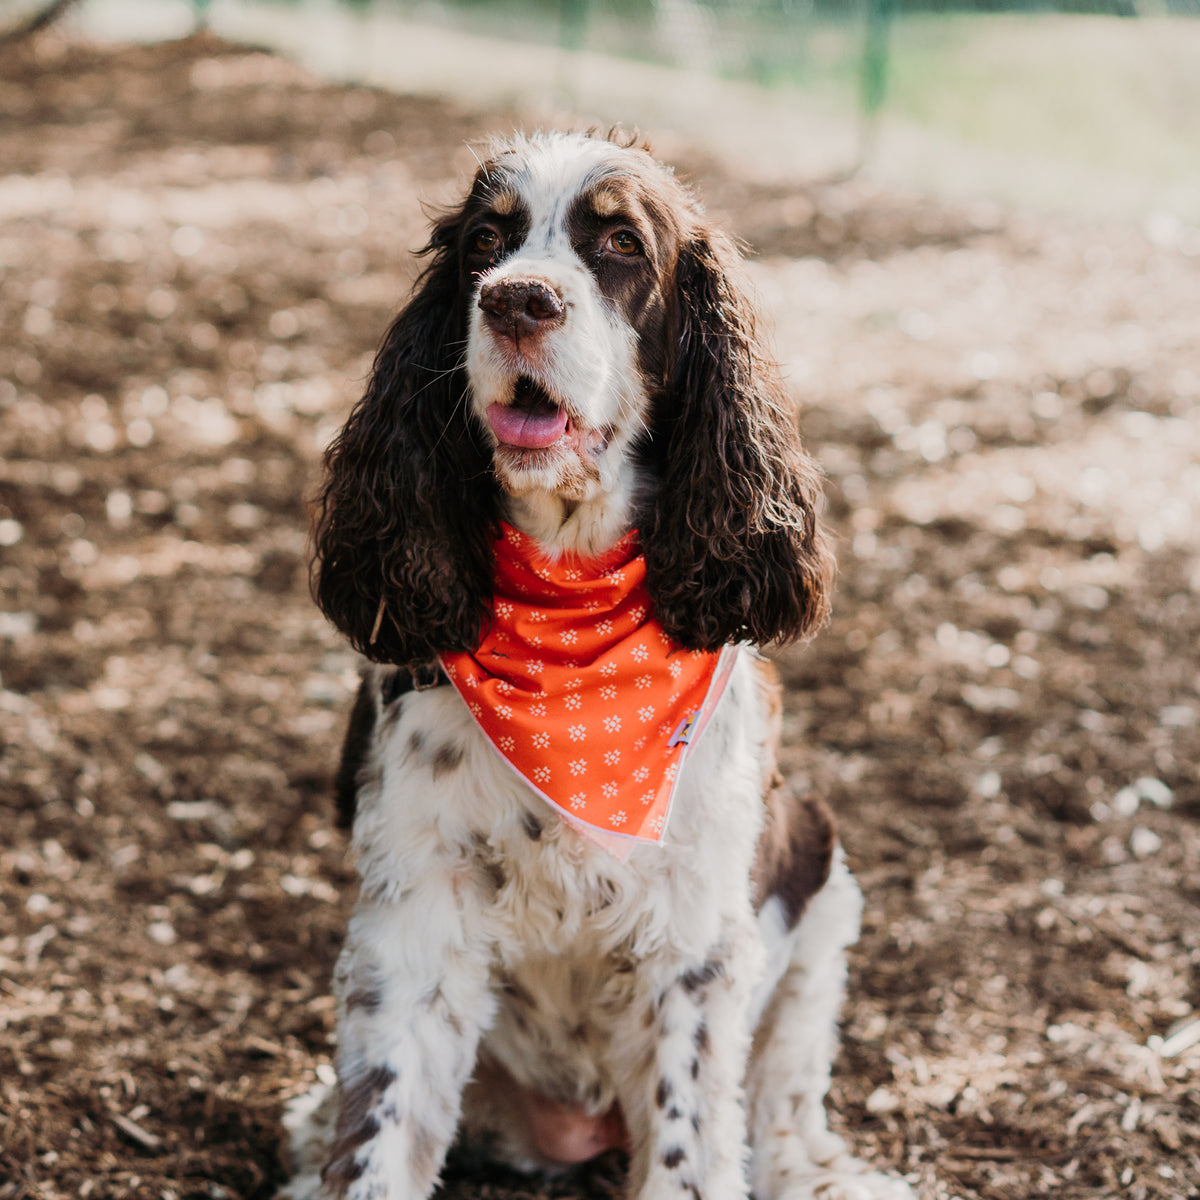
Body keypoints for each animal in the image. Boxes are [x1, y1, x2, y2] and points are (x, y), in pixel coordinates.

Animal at [283, 129, 907, 1200]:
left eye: (618, 242)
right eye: (485, 242)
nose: (516, 301)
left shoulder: (696, 942)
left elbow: (692, 1147)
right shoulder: (414, 916)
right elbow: (380, 1127)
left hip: (823, 885)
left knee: (782, 1101)